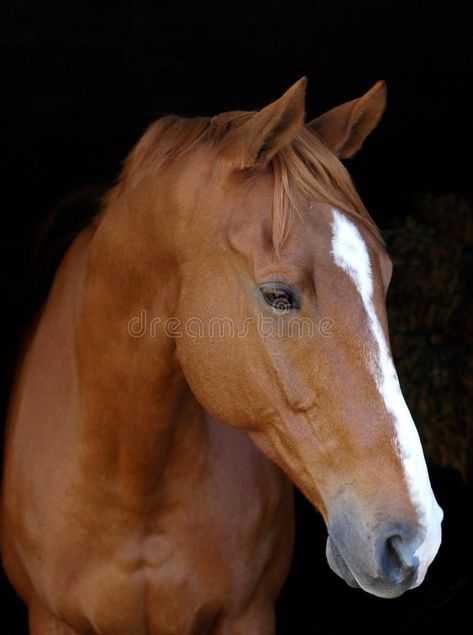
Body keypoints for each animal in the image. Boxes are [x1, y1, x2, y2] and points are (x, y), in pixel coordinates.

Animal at [0, 79, 442, 635]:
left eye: (384, 276)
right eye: (277, 295)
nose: (415, 540)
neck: (133, 481)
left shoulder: (247, 614)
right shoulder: (52, 618)